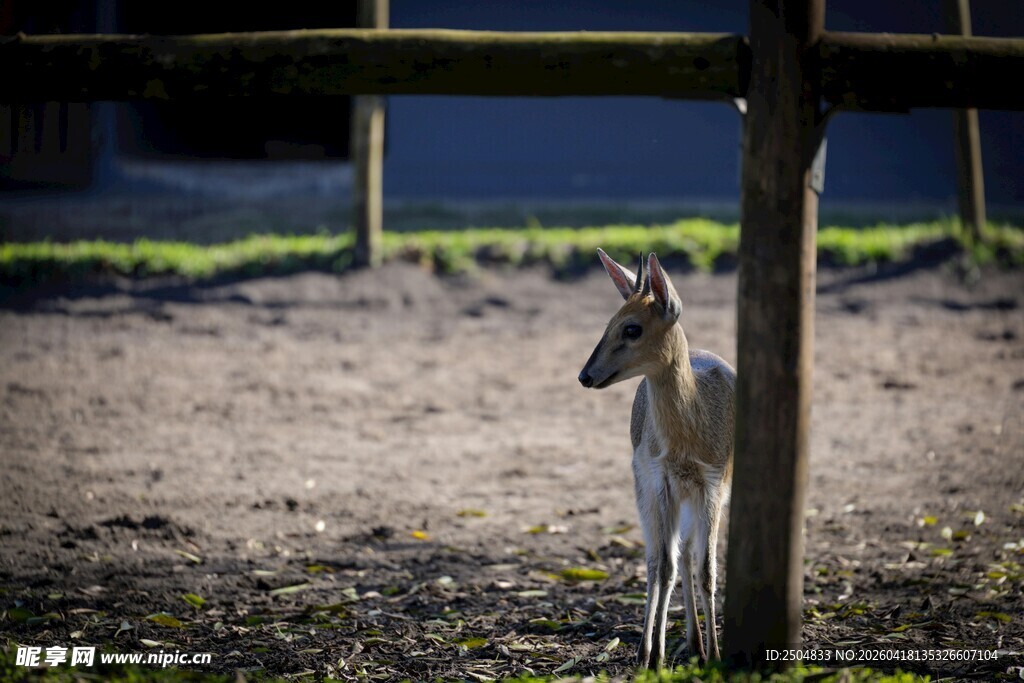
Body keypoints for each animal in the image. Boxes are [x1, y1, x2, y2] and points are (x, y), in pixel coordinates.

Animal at [578, 249, 734, 669]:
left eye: (632, 328)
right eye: (609, 323)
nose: (585, 375)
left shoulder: (713, 482)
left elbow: (706, 568)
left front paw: (716, 656)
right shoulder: (660, 477)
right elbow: (664, 565)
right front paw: (654, 658)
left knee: (687, 554)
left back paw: (697, 645)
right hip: (643, 485)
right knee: (657, 559)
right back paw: (649, 649)